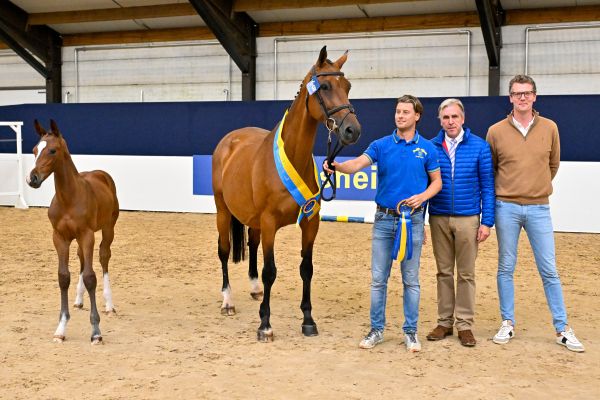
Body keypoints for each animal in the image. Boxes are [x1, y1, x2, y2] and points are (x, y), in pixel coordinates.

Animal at [27, 119, 119, 344]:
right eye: (34, 150)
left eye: (52, 150)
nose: (33, 179)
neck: (69, 198)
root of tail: (101, 173)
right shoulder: (60, 237)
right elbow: (64, 277)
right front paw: (60, 328)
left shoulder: (87, 234)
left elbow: (90, 277)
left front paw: (96, 331)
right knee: (82, 259)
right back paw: (78, 300)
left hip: (108, 228)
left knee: (104, 257)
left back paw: (109, 305)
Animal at [211, 47, 360, 340]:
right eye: (325, 86)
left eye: (347, 86)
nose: (352, 130)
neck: (293, 156)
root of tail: (229, 141)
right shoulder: (270, 222)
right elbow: (270, 271)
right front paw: (265, 325)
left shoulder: (310, 223)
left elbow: (306, 269)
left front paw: (308, 320)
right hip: (223, 211)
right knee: (224, 251)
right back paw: (228, 302)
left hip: (254, 220)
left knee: (252, 244)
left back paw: (255, 289)